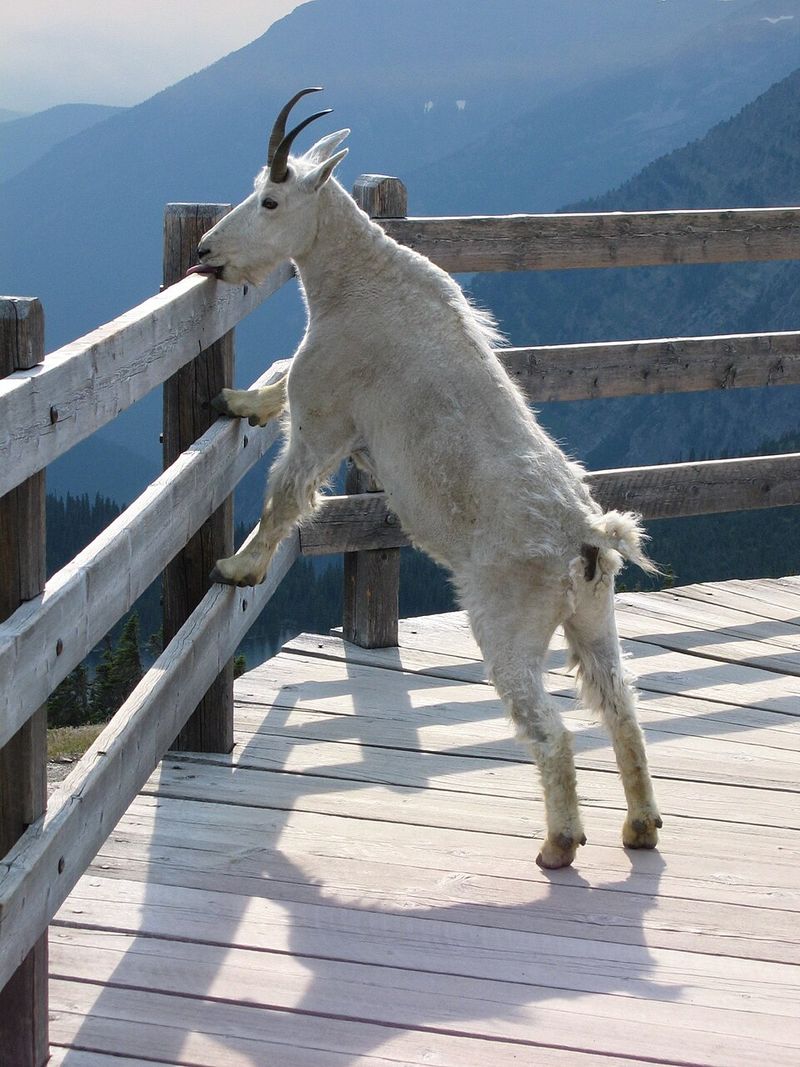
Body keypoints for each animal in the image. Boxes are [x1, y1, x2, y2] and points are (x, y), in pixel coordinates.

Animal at [189, 88, 662, 869]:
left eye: (270, 199)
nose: (205, 253)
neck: (359, 281)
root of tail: (587, 539)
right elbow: (278, 384)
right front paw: (238, 400)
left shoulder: (327, 411)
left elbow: (286, 491)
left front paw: (237, 567)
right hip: (594, 621)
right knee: (620, 707)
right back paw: (641, 826)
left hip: (508, 624)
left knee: (552, 729)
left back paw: (559, 843)